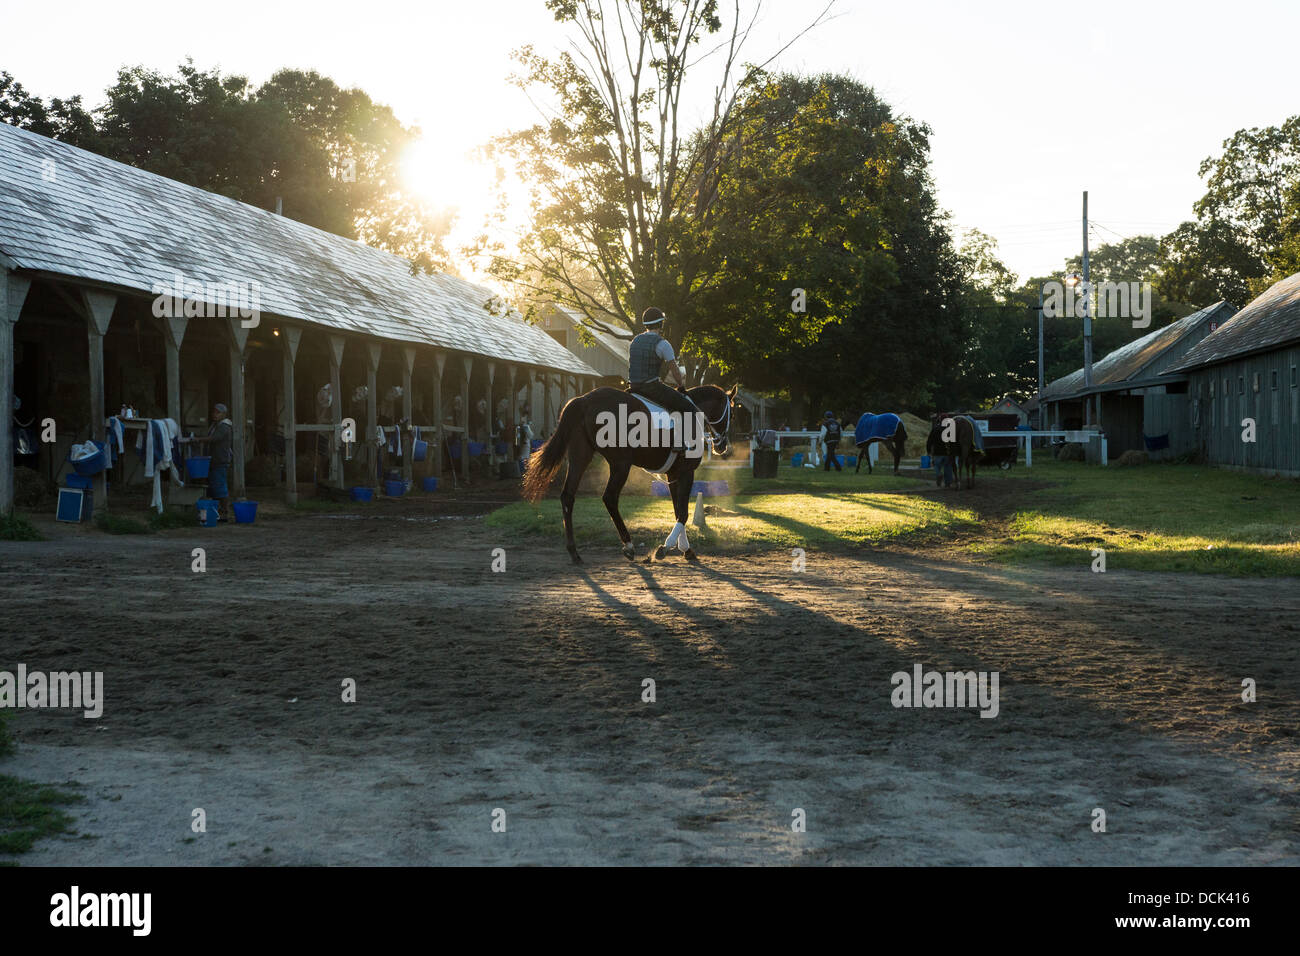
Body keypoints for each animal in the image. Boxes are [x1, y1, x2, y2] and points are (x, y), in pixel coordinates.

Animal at [522, 382, 738, 561]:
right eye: (732, 413)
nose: (723, 446)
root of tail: (584, 400)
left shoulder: (673, 474)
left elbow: (678, 510)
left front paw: (685, 549)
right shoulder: (686, 472)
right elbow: (683, 513)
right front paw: (666, 547)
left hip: (580, 457)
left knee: (568, 496)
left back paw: (574, 552)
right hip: (621, 464)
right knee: (609, 498)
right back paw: (628, 545)